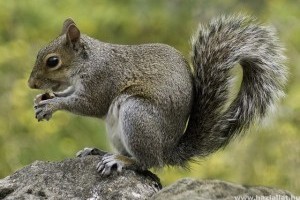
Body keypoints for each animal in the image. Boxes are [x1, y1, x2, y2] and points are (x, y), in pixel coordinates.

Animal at [28, 15, 288, 175]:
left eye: (53, 61)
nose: (31, 84)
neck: (88, 61)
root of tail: (167, 150)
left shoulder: (102, 81)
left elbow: (88, 104)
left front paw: (51, 105)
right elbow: (70, 93)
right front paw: (43, 99)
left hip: (137, 115)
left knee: (147, 163)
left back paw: (120, 160)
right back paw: (99, 152)